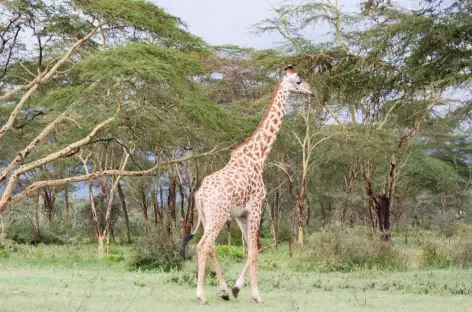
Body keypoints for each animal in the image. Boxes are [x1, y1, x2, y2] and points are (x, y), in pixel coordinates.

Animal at [188, 65, 314, 304]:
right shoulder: (256, 206)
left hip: (209, 216)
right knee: (203, 245)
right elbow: (255, 250)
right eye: (299, 81)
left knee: (211, 247)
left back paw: (222, 291)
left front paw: (236, 288)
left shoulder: (241, 215)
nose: (312, 91)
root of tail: (200, 195)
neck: (258, 157)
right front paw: (256, 295)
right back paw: (201, 295)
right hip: (219, 214)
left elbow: (250, 249)